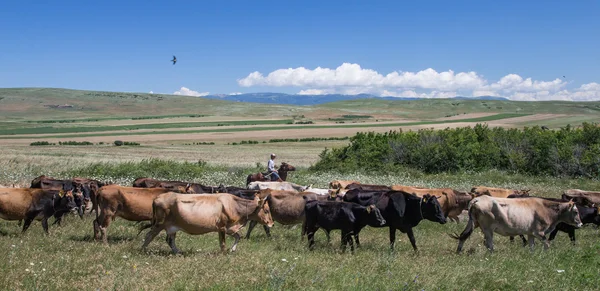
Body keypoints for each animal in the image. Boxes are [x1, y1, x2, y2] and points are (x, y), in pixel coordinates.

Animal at [141, 194, 274, 253]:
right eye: (266, 210)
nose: (271, 224)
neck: (235, 206)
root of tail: (157, 197)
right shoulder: (222, 227)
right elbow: (222, 243)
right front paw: (223, 253)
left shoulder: (230, 227)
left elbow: (238, 236)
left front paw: (232, 249)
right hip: (159, 224)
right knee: (149, 236)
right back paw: (142, 250)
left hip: (172, 227)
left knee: (170, 240)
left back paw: (178, 252)